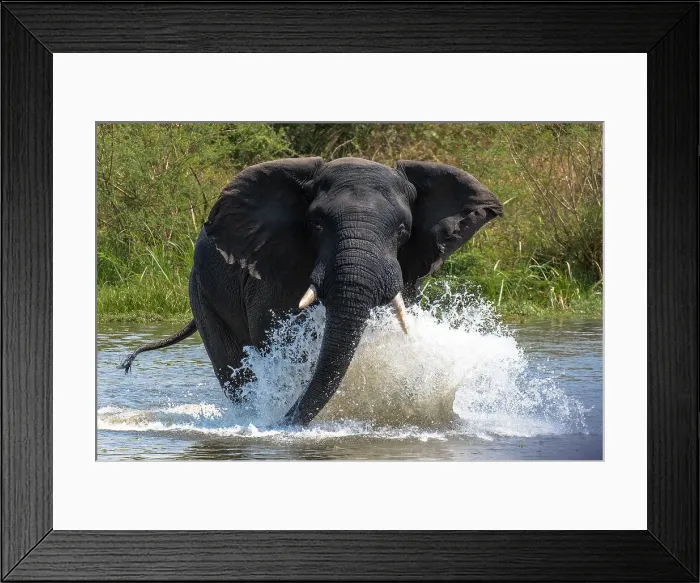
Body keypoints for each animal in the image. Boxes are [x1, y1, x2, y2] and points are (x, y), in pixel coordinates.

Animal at [119, 157, 503, 425]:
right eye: (316, 224)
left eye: (403, 231)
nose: (283, 422)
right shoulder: (274, 272)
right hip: (201, 291)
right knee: (232, 365)